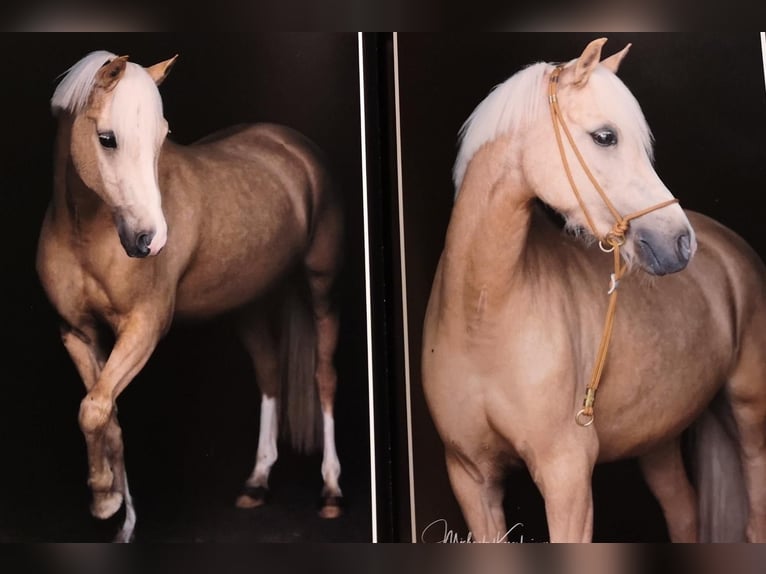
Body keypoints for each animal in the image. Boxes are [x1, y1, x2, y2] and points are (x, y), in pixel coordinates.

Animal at [37, 51, 344, 544]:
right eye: (107, 138)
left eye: (161, 136)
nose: (151, 240)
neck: (87, 234)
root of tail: (293, 145)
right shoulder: (77, 332)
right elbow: (104, 413)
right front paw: (114, 506)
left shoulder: (143, 329)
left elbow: (94, 409)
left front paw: (106, 499)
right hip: (248, 304)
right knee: (269, 373)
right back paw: (257, 482)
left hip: (322, 289)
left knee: (325, 377)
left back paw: (331, 491)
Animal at [424, 37, 766, 544]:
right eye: (605, 136)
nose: (680, 243)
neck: (482, 315)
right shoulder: (471, 477)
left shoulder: (566, 475)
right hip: (658, 440)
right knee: (684, 513)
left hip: (751, 420)